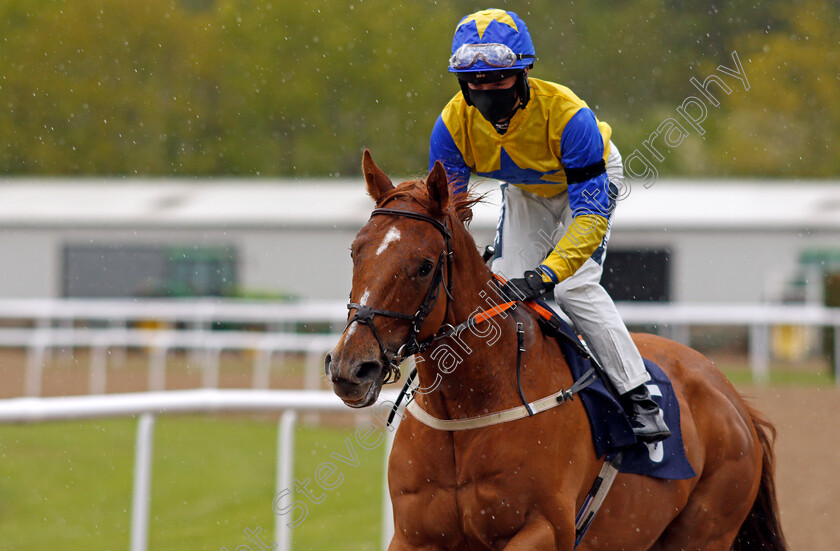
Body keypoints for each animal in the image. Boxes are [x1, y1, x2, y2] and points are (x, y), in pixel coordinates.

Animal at [324, 152, 784, 551]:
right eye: (355, 251)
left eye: (423, 265)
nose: (351, 367)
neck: (468, 408)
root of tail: (735, 401)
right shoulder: (413, 536)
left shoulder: (545, 528)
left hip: (705, 530)